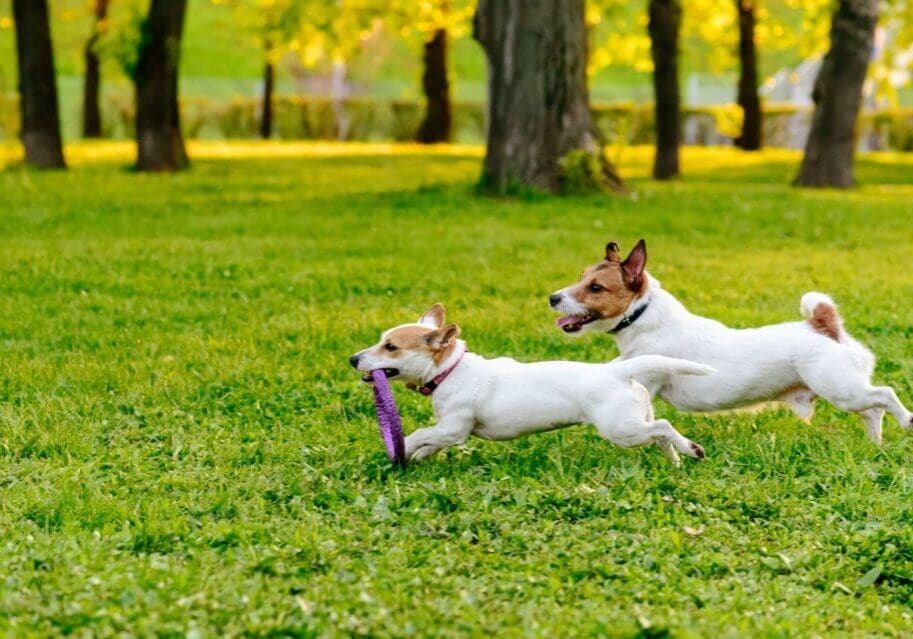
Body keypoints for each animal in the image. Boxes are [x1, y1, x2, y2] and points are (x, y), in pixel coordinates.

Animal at [548, 238, 912, 442]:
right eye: (581, 277)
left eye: (596, 287)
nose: (553, 297)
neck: (644, 317)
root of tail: (824, 325)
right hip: (848, 392)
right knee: (873, 412)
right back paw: (875, 444)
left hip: (841, 389)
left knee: (885, 395)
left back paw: (906, 422)